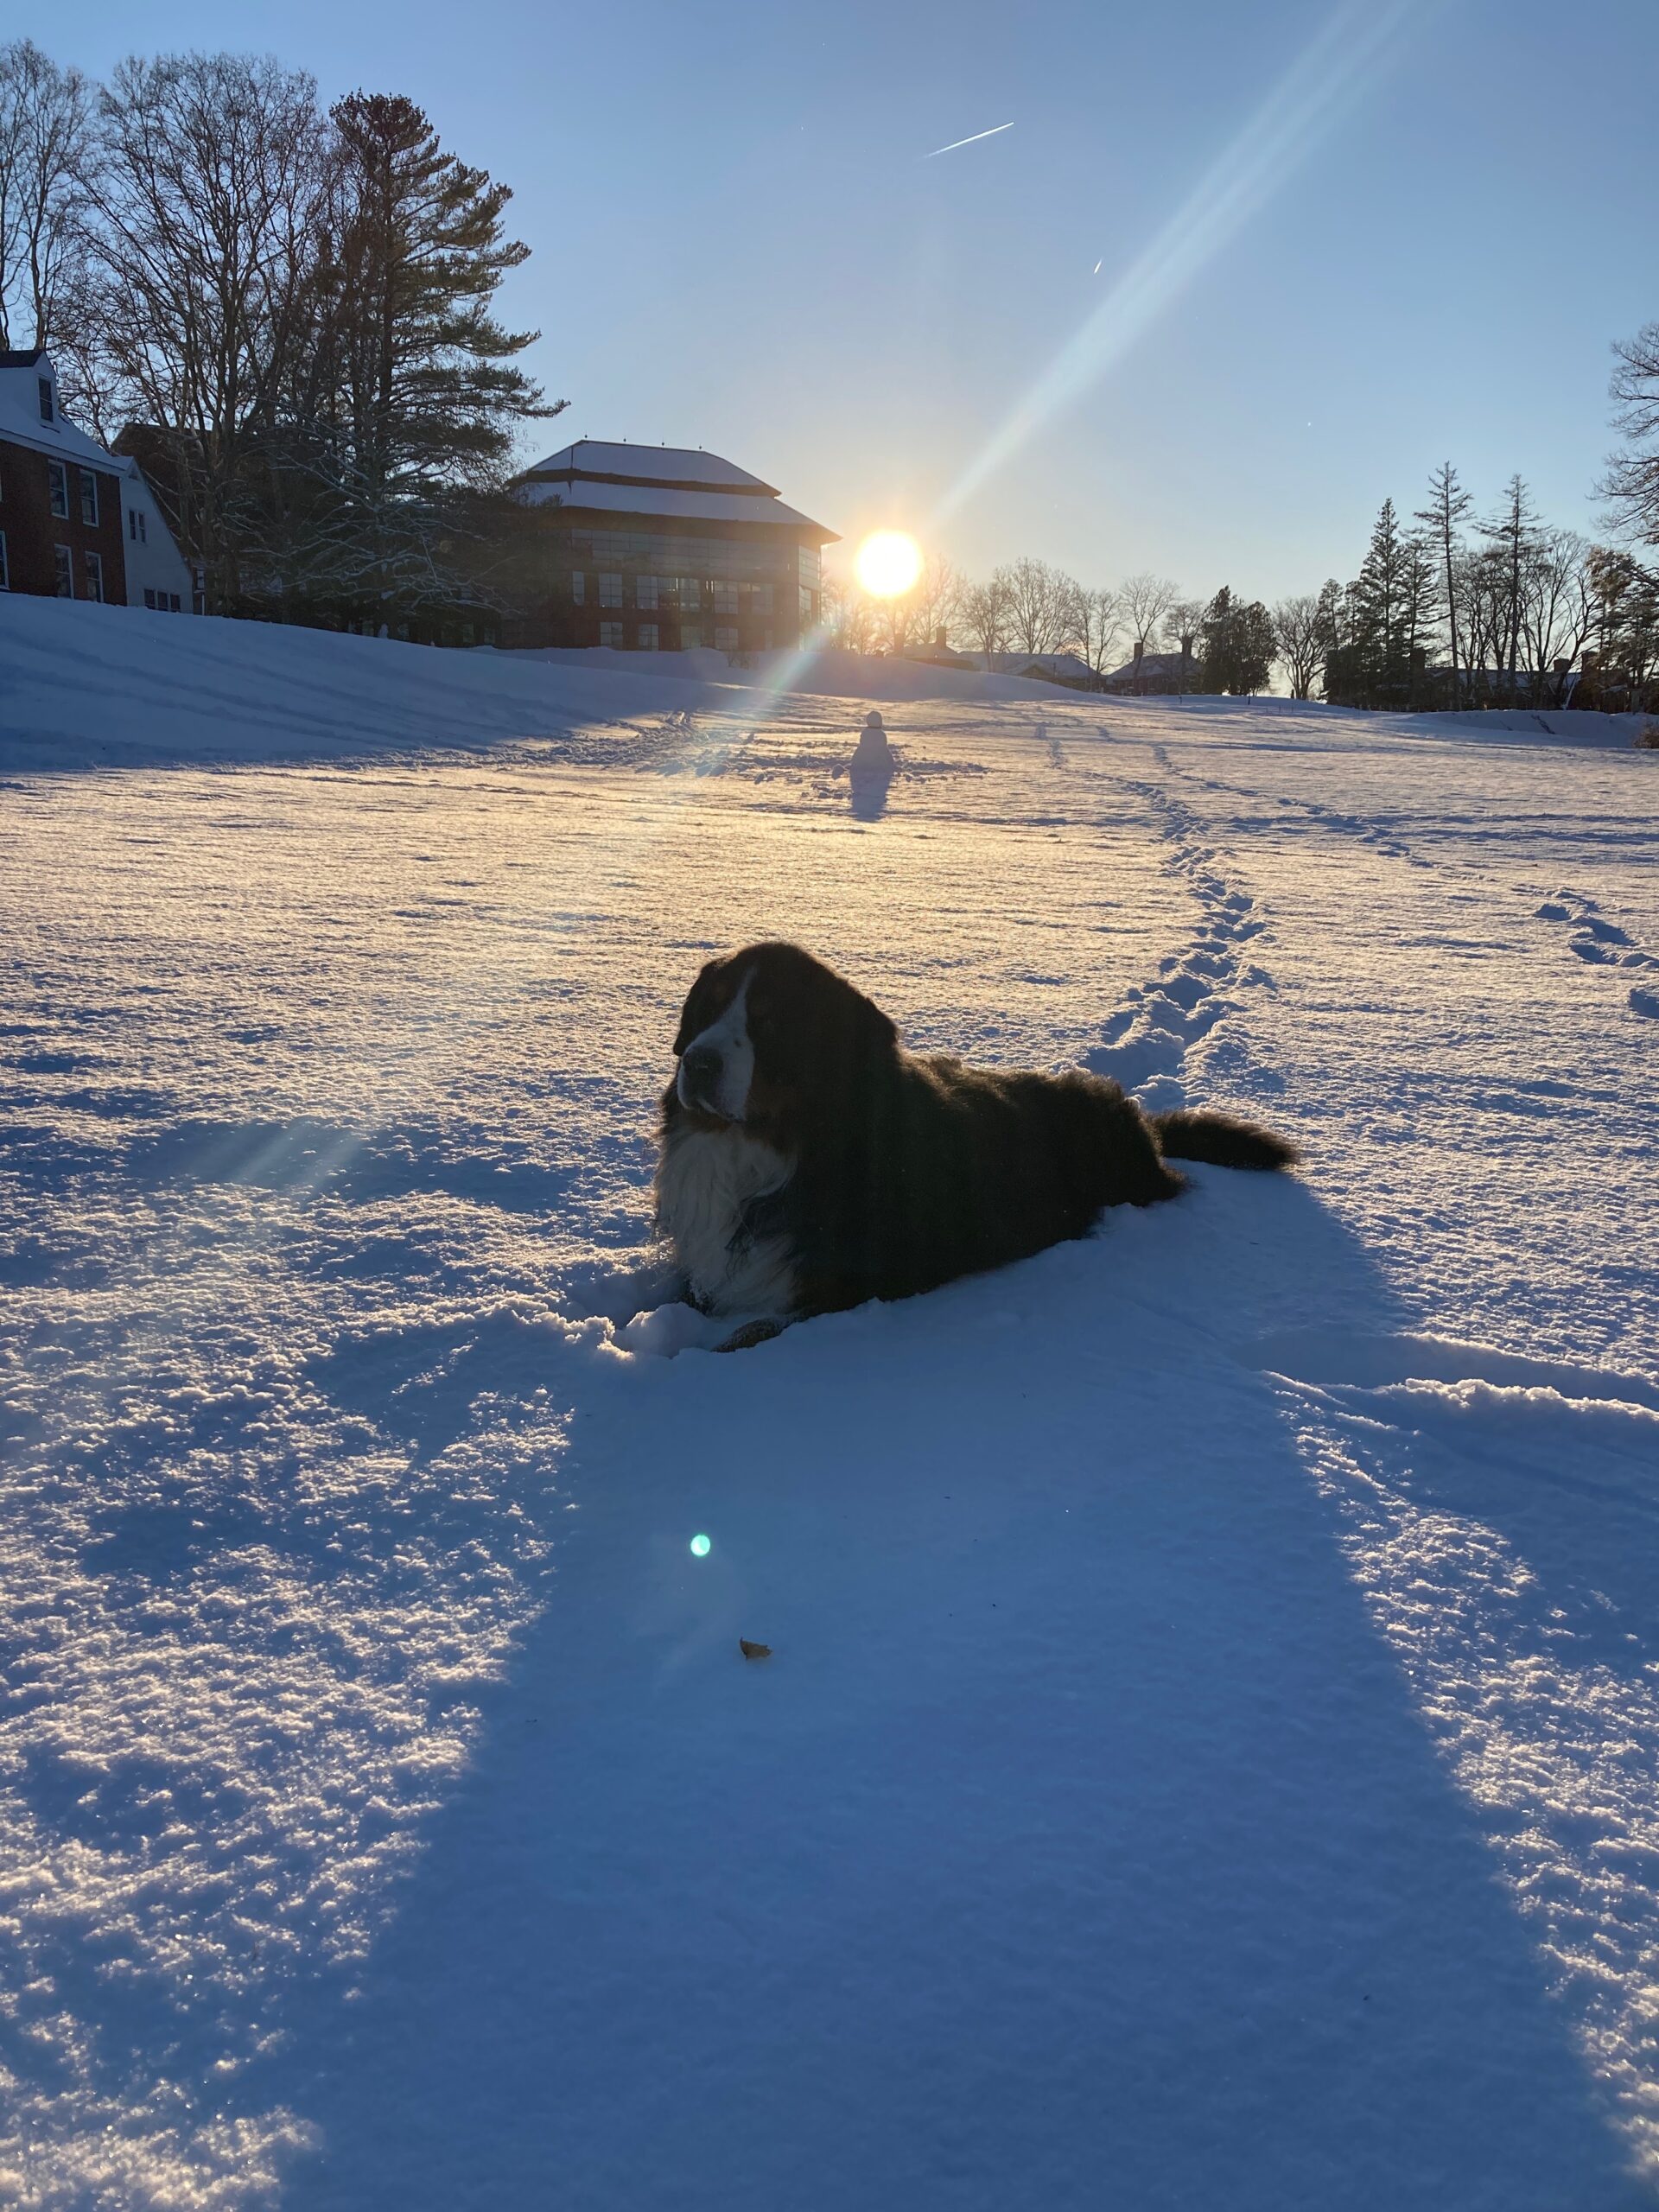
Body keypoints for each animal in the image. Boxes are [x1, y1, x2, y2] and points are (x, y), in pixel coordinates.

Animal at [654, 938, 1309, 1344]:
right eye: (707, 1010)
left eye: (770, 1024)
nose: (698, 1064)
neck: (774, 1154)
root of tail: (1138, 1119)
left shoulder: (846, 1291)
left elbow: (745, 1335)